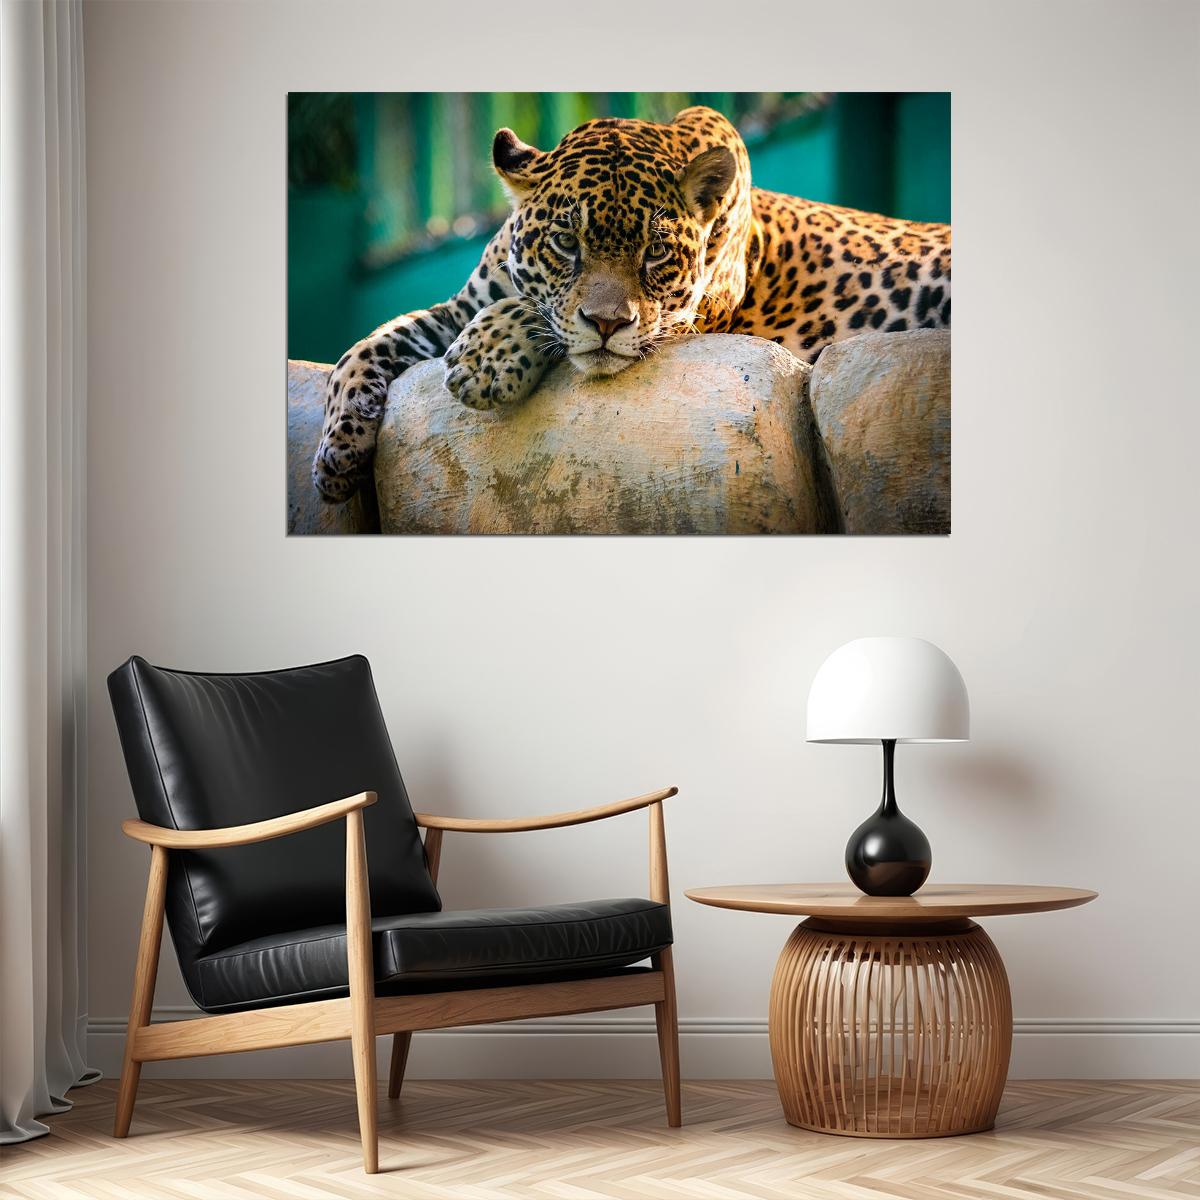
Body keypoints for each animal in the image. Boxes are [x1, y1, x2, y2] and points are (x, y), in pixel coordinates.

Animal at [312, 105, 950, 502]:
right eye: (566, 242)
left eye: (657, 251)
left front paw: (484, 362)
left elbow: (539, 314)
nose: (608, 324)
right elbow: (365, 346)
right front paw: (335, 455)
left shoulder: (691, 316)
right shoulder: (459, 306)